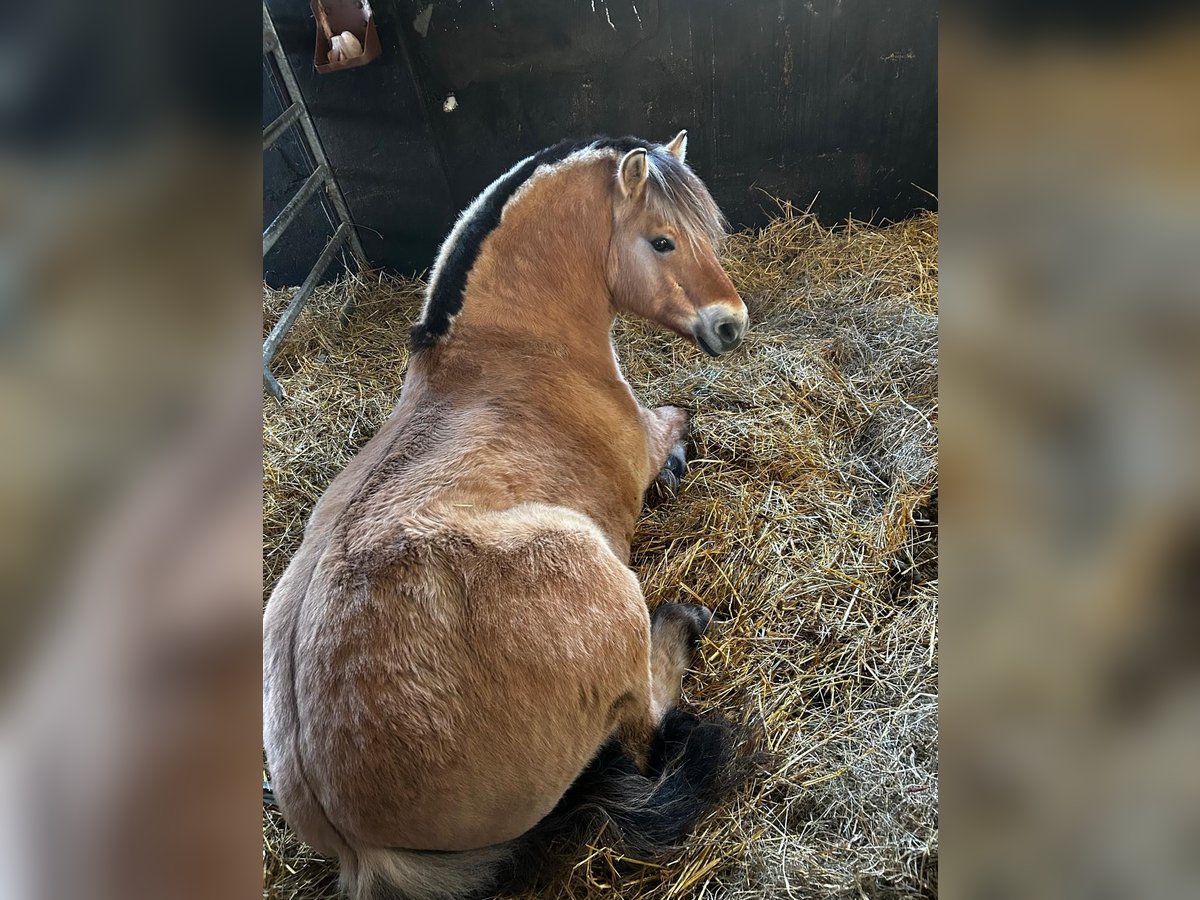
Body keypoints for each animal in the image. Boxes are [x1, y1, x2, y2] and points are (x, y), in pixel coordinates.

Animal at [267, 130, 744, 897]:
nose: (732, 324)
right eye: (662, 240)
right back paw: (681, 623)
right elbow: (679, 415)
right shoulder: (644, 437)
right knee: (645, 729)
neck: (511, 348)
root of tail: (359, 847)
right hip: (595, 575)